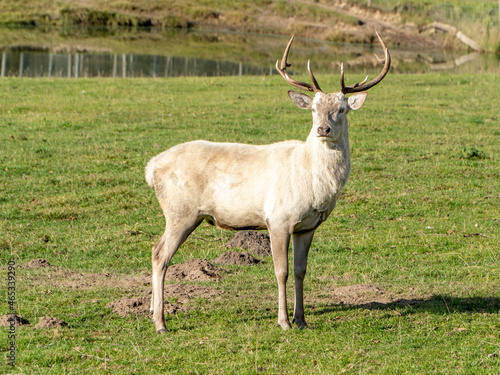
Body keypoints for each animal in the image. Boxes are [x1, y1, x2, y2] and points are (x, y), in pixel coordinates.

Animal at [145, 31, 390, 332]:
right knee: (159, 255)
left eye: (342, 109)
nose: (323, 129)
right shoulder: (279, 218)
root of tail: (151, 168)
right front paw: (283, 321)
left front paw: (302, 319)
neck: (314, 184)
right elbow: (280, 270)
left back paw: (152, 313)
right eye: (313, 108)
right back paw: (160, 322)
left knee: (156, 250)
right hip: (180, 212)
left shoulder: (307, 226)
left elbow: (300, 271)